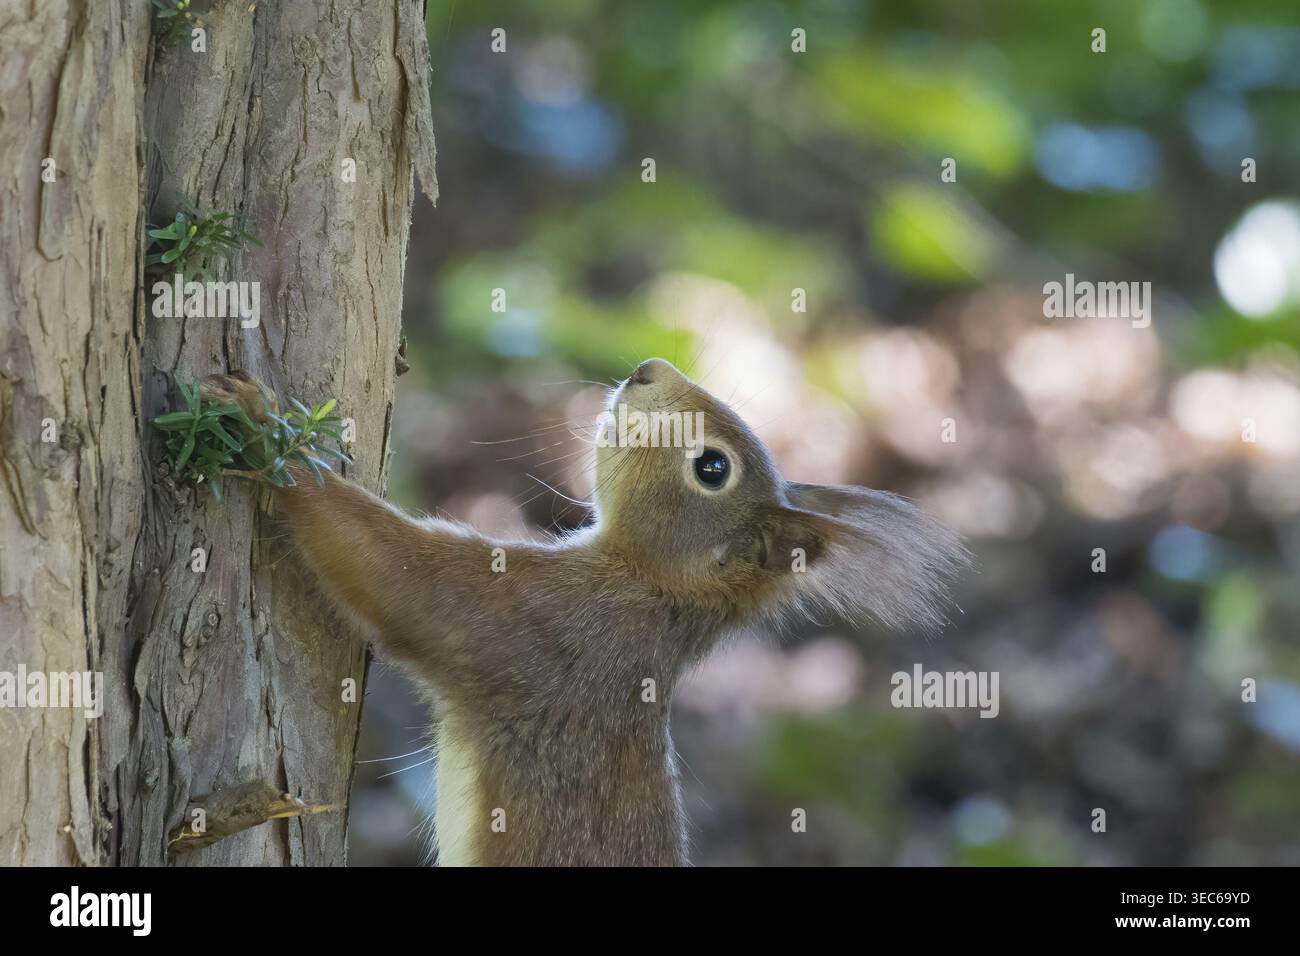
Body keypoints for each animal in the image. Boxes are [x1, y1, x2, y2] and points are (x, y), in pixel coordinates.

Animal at [202, 358, 965, 866]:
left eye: (711, 468)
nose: (648, 369)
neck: (652, 591)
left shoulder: (542, 626)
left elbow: (398, 576)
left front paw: (266, 434)